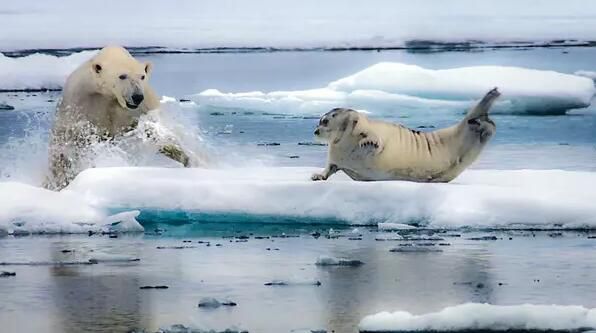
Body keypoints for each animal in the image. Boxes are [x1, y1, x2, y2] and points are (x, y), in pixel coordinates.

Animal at [44, 45, 193, 189]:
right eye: (122, 76)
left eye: (142, 76)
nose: (137, 96)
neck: (109, 95)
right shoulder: (79, 102)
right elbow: (69, 139)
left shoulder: (143, 106)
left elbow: (157, 130)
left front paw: (184, 156)